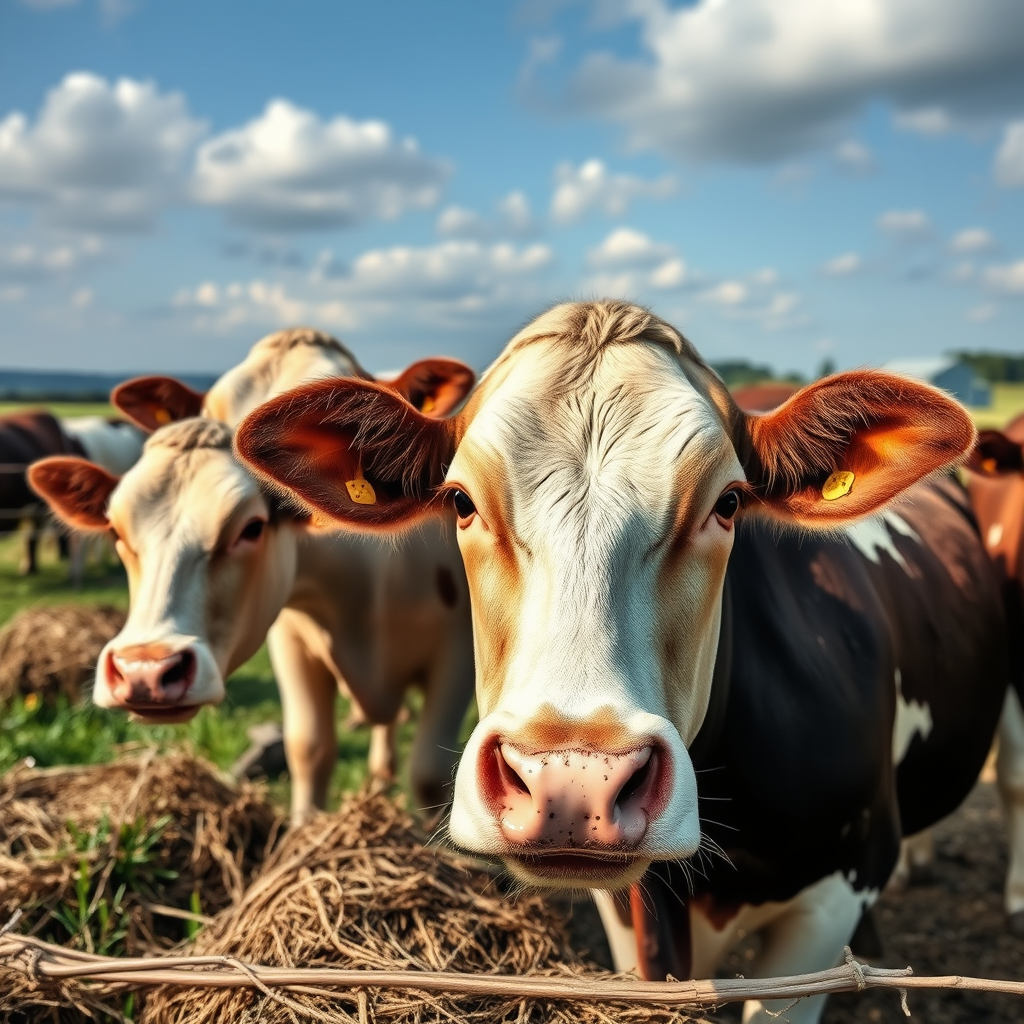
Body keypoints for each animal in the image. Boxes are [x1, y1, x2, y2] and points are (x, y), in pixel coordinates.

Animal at [30, 329, 477, 825]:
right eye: (117, 531)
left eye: (251, 528)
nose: (145, 670)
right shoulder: (292, 639)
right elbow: (309, 750)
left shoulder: (459, 653)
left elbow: (430, 775)